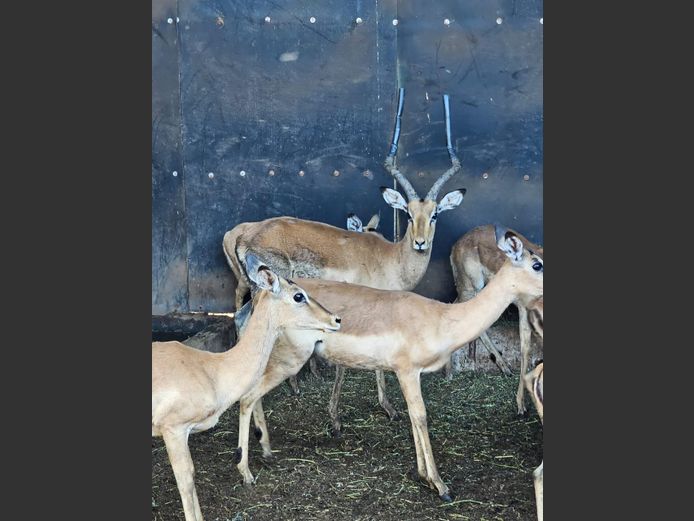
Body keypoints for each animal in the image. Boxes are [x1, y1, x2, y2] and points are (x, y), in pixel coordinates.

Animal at [223, 90, 465, 421]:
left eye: (435, 214)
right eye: (407, 212)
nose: (420, 243)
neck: (391, 259)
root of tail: (245, 234)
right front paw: (381, 408)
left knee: (240, 318)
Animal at [448, 224, 544, 414]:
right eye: (537, 265)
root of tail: (455, 246)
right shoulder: (523, 308)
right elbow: (525, 349)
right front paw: (521, 406)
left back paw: (505, 368)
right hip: (470, 288)